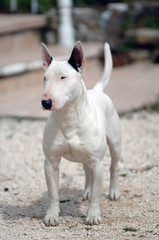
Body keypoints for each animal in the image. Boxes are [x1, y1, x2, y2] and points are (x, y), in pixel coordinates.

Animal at [40, 40, 121, 226]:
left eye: (63, 77)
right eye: (45, 78)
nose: (46, 102)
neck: (68, 117)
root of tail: (97, 90)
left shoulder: (98, 162)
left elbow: (97, 194)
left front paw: (93, 215)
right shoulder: (50, 163)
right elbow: (53, 194)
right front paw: (52, 215)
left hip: (114, 144)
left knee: (113, 167)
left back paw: (113, 191)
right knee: (86, 170)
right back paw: (87, 191)